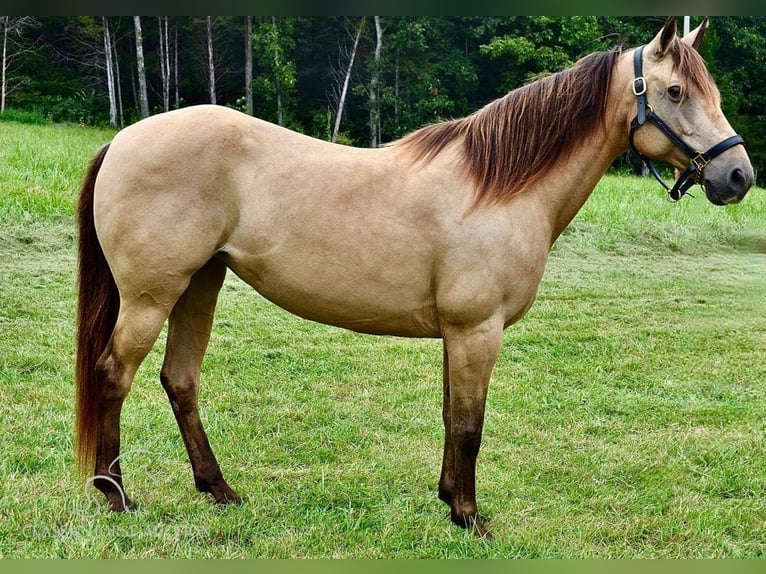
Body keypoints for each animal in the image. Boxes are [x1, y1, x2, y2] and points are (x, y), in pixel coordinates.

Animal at [75, 19, 752, 540]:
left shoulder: (460, 335)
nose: (739, 176)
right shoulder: (477, 331)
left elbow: (452, 416)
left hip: (200, 284)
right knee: (114, 376)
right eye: (674, 91)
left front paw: (450, 502)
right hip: (153, 295)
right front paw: (472, 518)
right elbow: (470, 424)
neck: (497, 188)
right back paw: (116, 495)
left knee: (179, 381)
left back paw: (219, 490)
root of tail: (123, 139)